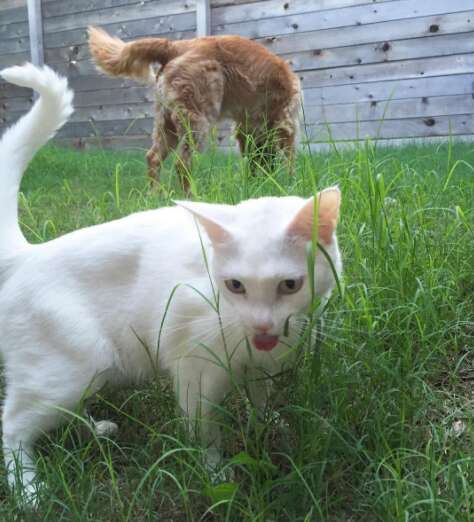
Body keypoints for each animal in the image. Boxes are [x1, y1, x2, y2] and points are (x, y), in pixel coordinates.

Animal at [0, 63, 342, 502]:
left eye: (290, 285)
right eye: (235, 286)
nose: (262, 325)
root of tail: (28, 254)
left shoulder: (261, 367)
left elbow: (261, 400)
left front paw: (269, 425)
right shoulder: (194, 371)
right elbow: (204, 432)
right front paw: (215, 474)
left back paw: (96, 430)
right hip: (68, 369)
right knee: (12, 426)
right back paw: (29, 491)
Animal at [88, 26, 300, 189]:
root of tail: (175, 47)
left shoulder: (246, 130)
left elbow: (253, 161)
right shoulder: (285, 124)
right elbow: (289, 159)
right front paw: (290, 184)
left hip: (167, 124)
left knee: (153, 158)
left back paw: (155, 195)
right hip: (197, 121)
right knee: (182, 164)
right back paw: (192, 197)